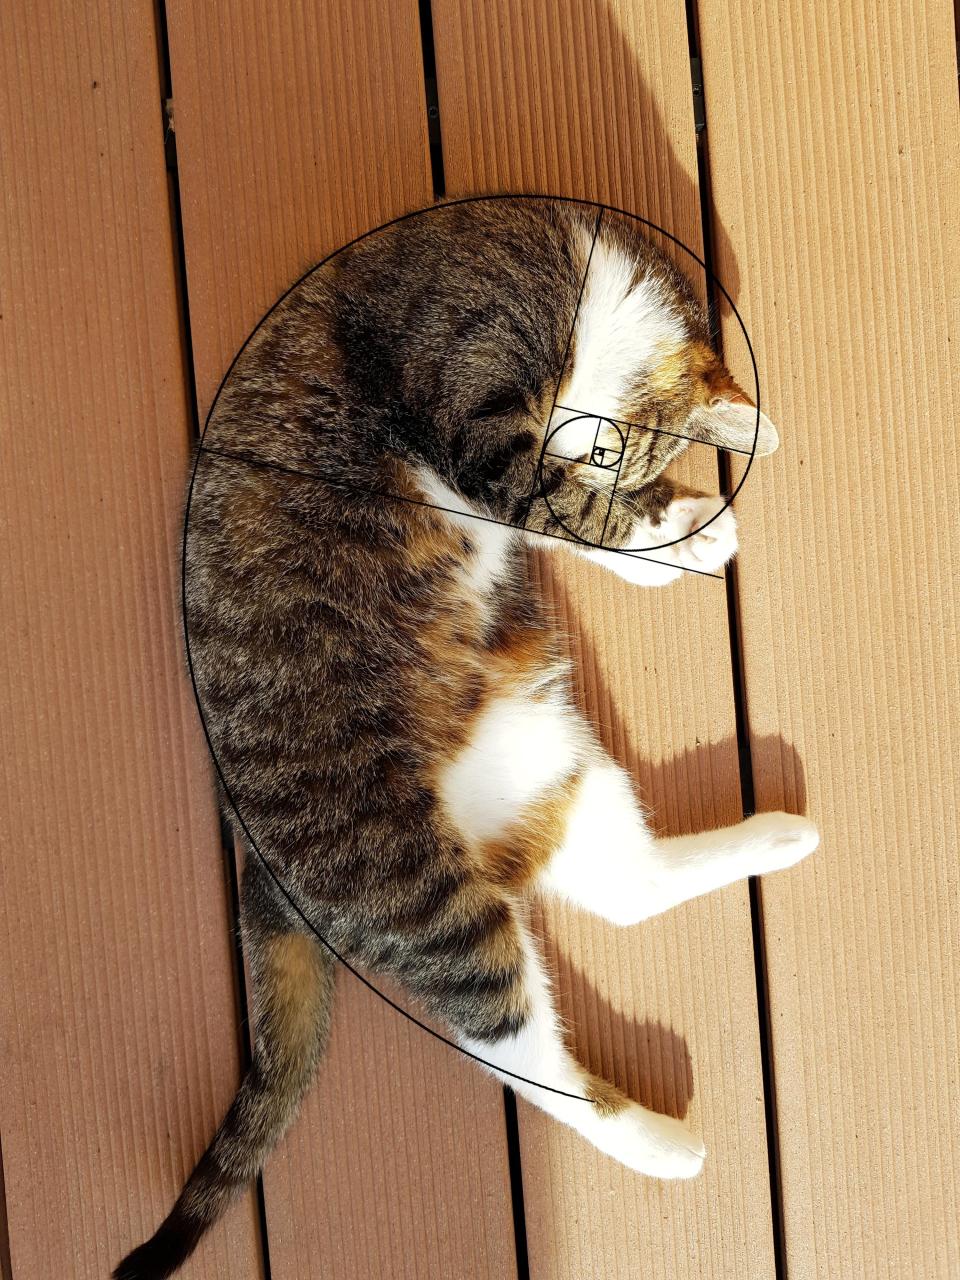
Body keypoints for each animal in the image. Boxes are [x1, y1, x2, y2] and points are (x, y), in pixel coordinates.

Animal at [112, 197, 819, 1280]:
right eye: (607, 453)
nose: (581, 452)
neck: (585, 298)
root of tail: (255, 850)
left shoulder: (502, 453)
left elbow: (564, 519)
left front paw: (675, 535)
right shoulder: (473, 395)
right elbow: (561, 509)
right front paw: (682, 533)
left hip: (545, 748)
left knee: (629, 889)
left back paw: (782, 835)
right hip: (419, 888)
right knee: (519, 1054)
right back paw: (665, 1144)